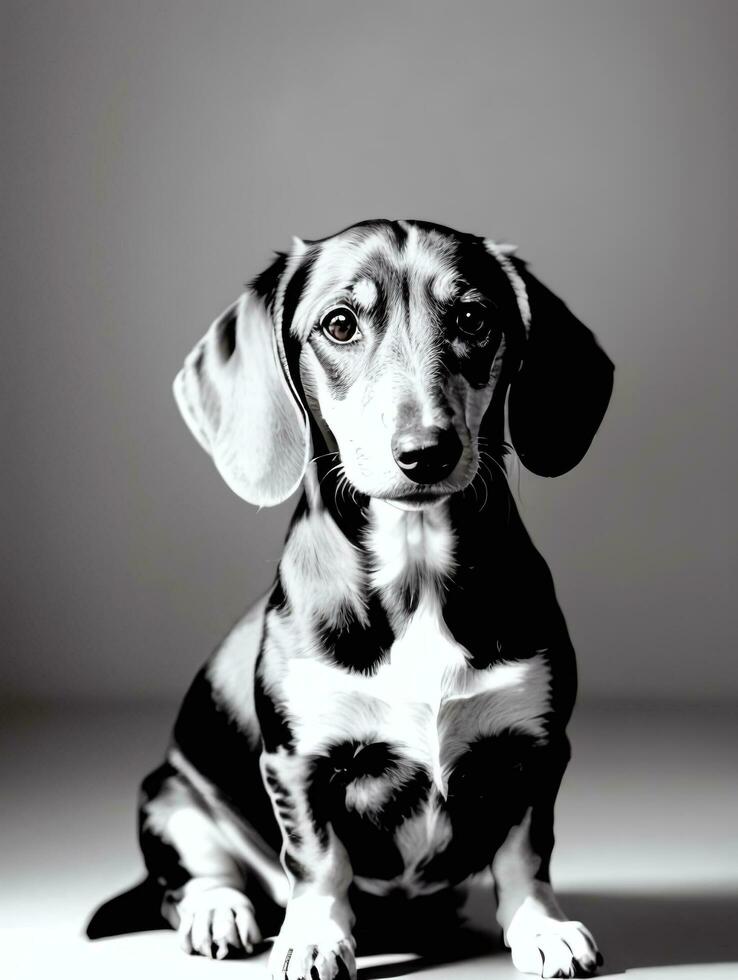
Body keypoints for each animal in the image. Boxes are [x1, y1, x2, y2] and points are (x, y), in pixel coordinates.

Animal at [89, 220, 612, 980]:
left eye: (474, 319)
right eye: (340, 324)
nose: (426, 452)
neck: (415, 570)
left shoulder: (536, 749)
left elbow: (525, 852)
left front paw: (541, 927)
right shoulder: (298, 763)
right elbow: (317, 861)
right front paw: (315, 937)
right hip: (169, 795)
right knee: (190, 879)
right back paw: (221, 911)